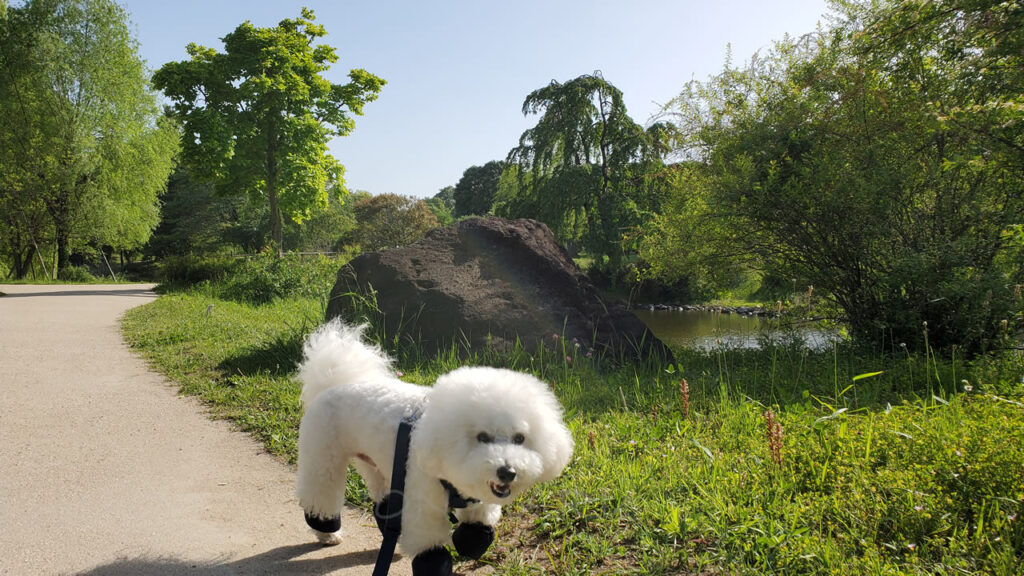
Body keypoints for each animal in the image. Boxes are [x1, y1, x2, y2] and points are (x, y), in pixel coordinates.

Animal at [294, 319, 577, 569]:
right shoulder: (425, 504)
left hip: (379, 465)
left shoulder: (479, 501)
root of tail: (333, 382)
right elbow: (431, 553)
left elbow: (476, 531)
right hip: (323, 458)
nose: (508, 472)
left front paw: (469, 542)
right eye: (482, 437)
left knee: (384, 501)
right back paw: (327, 533)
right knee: (320, 494)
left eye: (520, 438)